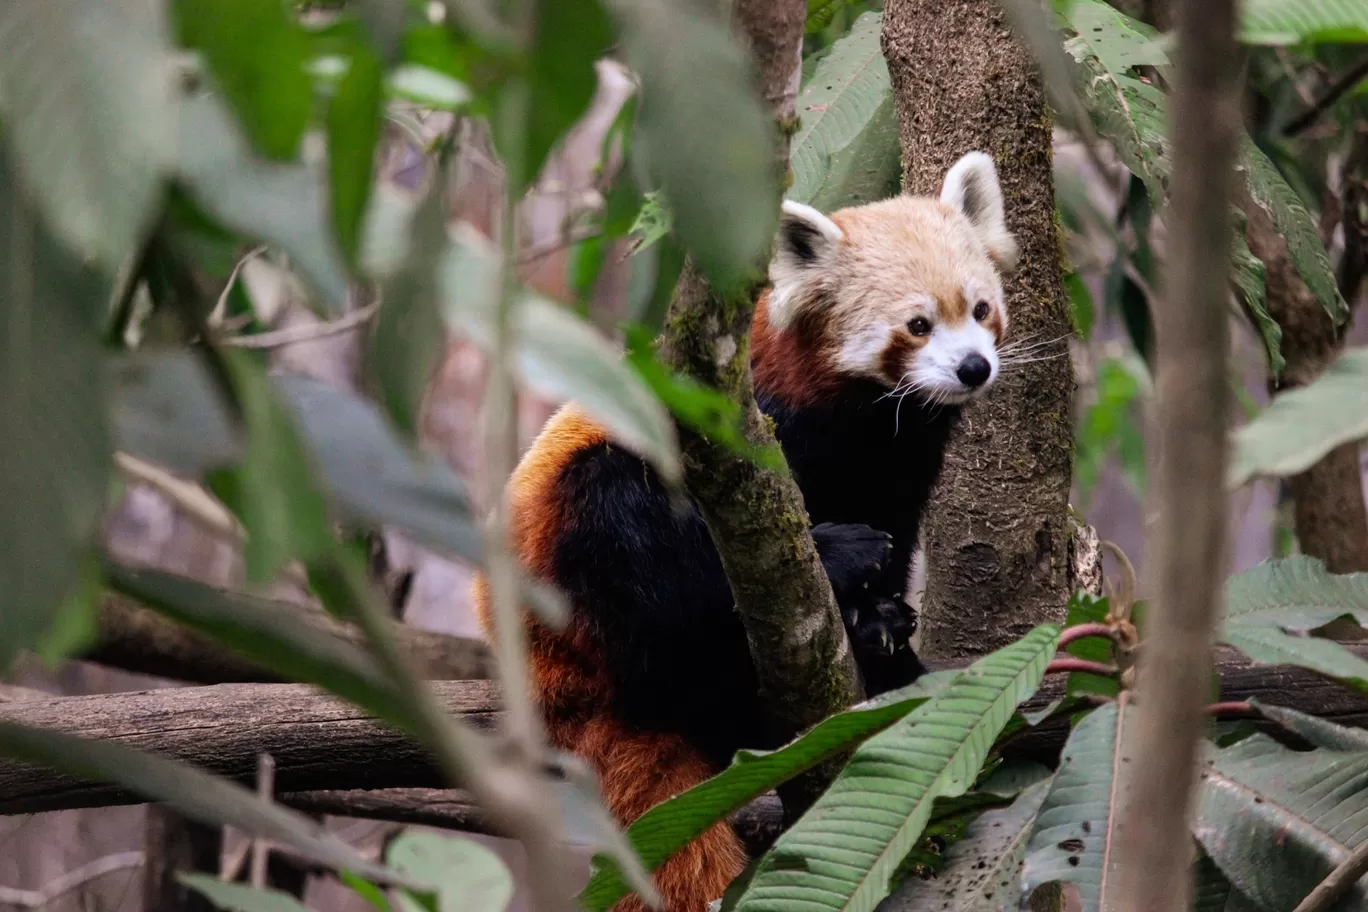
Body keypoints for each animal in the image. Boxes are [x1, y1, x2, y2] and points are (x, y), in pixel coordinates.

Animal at [470, 151, 1017, 912]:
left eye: (980, 309)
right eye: (917, 324)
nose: (973, 367)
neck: (870, 425)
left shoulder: (898, 470)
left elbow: (898, 534)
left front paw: (881, 623)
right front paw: (853, 582)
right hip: (571, 550)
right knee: (642, 553)